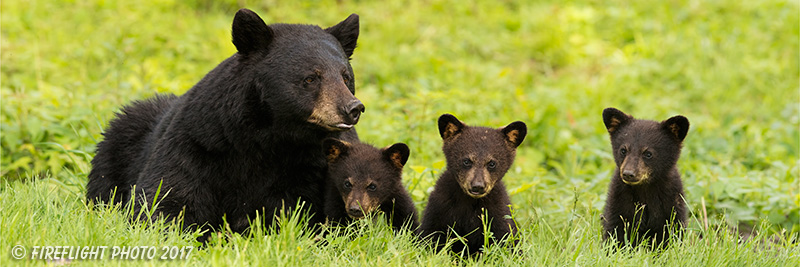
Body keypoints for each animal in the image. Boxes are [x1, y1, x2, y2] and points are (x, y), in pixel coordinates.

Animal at [85, 8, 366, 243]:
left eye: (345, 77)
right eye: (310, 78)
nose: (352, 108)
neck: (274, 138)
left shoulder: (321, 163)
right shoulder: (200, 143)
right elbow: (164, 199)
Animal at [418, 114, 524, 256]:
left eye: (492, 163)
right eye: (466, 161)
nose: (477, 186)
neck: (470, 201)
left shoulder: (498, 211)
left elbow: (508, 241)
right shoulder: (439, 207)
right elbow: (429, 235)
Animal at [604, 107, 692, 249]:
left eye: (648, 153)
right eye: (623, 150)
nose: (628, 173)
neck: (645, 189)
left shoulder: (672, 202)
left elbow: (670, 231)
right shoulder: (619, 199)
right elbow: (615, 230)